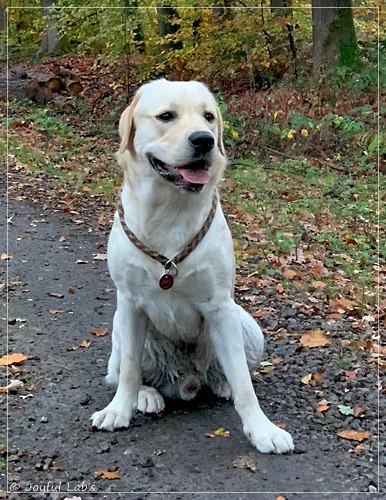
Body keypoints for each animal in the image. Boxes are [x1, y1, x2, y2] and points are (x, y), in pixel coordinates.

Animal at [92, 79, 294, 454]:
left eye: (209, 117)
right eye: (166, 116)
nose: (204, 140)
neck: (170, 211)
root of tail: (186, 380)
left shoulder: (220, 307)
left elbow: (245, 384)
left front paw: (263, 429)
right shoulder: (129, 304)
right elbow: (129, 370)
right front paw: (118, 410)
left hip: (248, 327)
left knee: (231, 371)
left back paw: (221, 383)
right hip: (118, 328)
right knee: (120, 370)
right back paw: (146, 396)